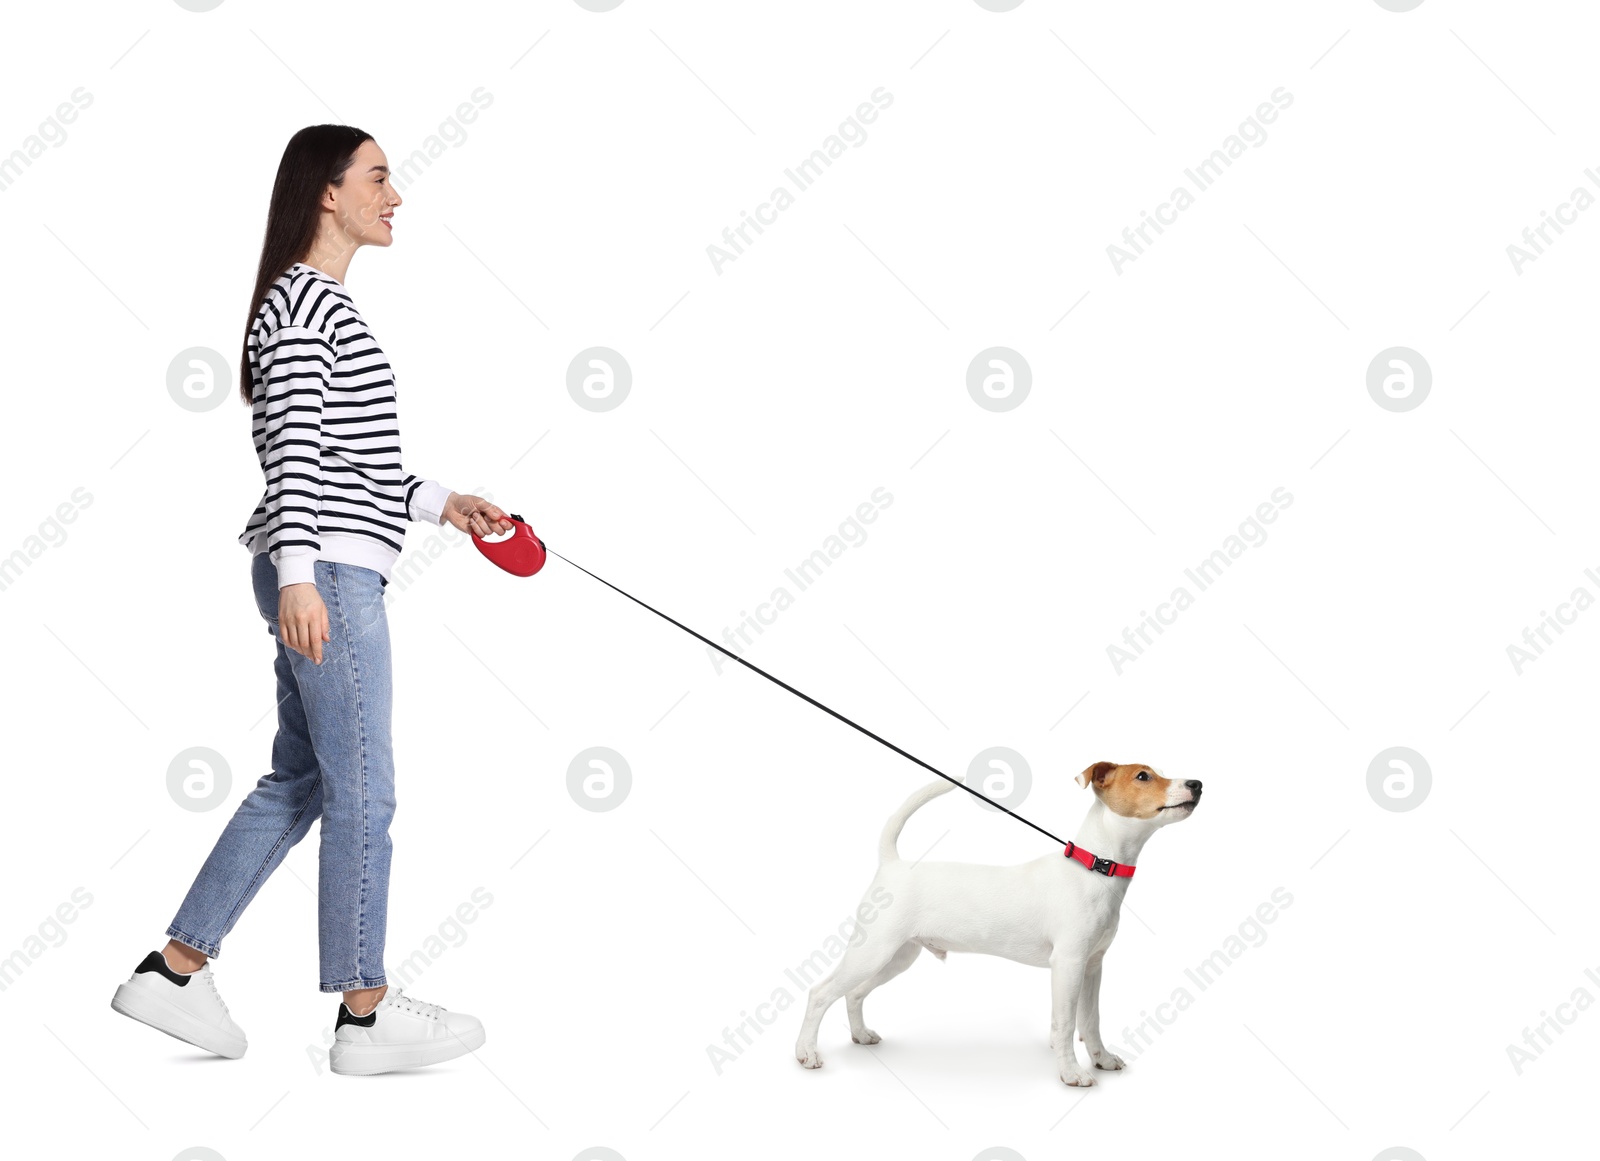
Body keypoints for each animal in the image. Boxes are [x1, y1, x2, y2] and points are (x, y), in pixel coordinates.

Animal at [790, 764, 1203, 1093]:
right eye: (1143, 776)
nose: (1197, 783)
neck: (1095, 866)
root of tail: (893, 865)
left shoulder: (1092, 966)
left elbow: (1091, 1019)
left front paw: (1101, 1058)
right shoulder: (1068, 964)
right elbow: (1066, 1023)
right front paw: (1071, 1073)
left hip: (897, 956)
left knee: (855, 994)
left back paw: (860, 1035)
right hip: (872, 950)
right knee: (821, 993)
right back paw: (806, 1052)